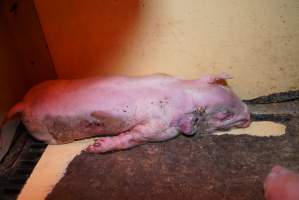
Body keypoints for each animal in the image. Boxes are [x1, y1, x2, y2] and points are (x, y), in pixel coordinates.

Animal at [0, 73, 251, 153]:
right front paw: (94, 148)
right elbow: (135, 136)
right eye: (224, 115)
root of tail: (23, 103)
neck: (185, 95)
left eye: (228, 89)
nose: (249, 117)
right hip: (46, 133)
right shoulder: (158, 128)